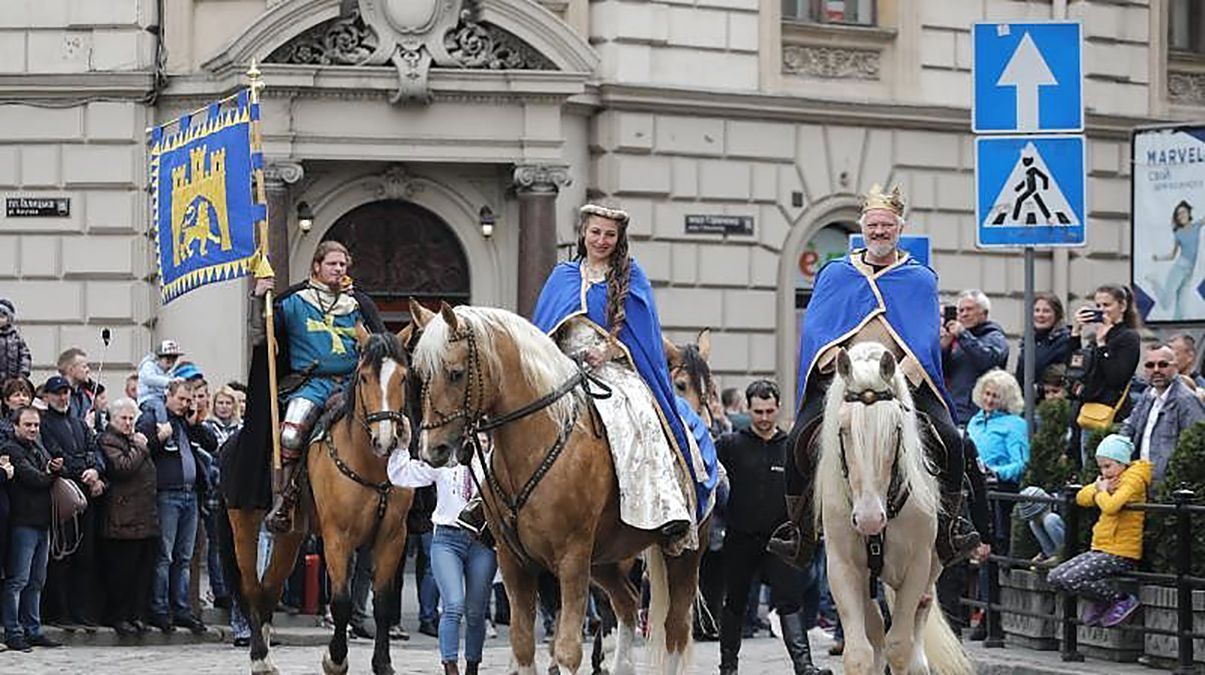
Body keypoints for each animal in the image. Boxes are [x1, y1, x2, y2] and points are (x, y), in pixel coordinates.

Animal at [221, 327, 414, 675]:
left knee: (270, 587)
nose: (385, 440)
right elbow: (341, 601)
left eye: (403, 377)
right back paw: (259, 657)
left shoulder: (392, 536)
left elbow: (382, 603)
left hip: (290, 537)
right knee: (252, 589)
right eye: (364, 377)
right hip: (243, 526)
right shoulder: (338, 537)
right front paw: (335, 659)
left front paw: (383, 663)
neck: (370, 464)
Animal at [409, 303, 708, 675]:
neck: (536, 443)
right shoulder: (514, 562)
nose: (430, 449)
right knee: (626, 603)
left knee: (675, 629)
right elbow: (523, 645)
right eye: (420, 374)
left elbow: (567, 651)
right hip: (606, 558)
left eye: (456, 373)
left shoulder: (571, 559)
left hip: (683, 554)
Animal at [814, 342, 973, 675]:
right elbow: (859, 653)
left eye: (896, 429)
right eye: (843, 429)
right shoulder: (842, 568)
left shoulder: (916, 566)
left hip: (930, 568)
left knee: (918, 620)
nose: (869, 519)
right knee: (875, 630)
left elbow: (899, 648)